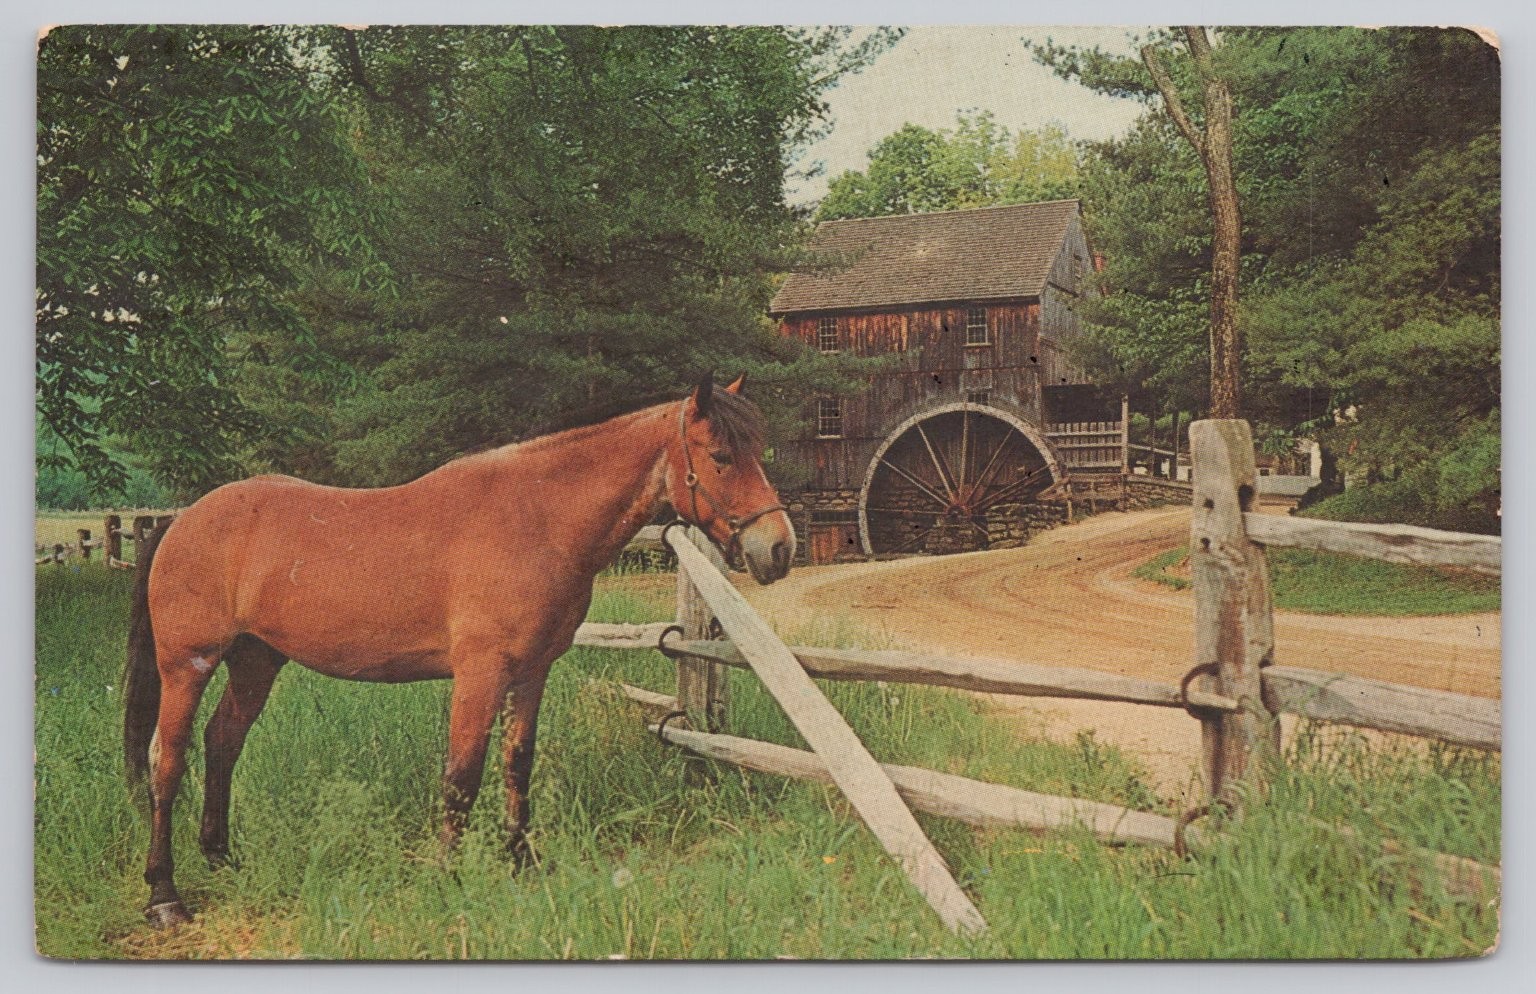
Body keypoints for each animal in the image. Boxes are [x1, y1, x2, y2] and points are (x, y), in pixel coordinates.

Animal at [123, 375, 795, 928]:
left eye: (758, 449)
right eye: (721, 455)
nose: (779, 548)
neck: (536, 518)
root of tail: (182, 520)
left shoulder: (531, 673)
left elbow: (516, 763)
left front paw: (521, 859)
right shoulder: (480, 672)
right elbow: (462, 773)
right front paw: (447, 873)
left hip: (255, 660)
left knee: (222, 743)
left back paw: (221, 856)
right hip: (188, 665)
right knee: (168, 760)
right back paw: (164, 897)